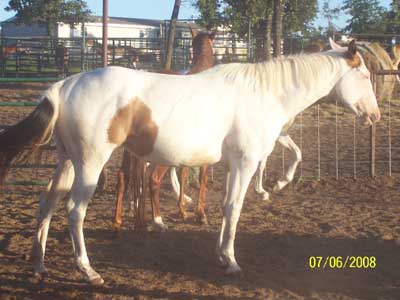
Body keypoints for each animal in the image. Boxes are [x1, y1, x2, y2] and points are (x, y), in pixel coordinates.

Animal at [111, 28, 217, 232]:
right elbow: (202, 177)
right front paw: (200, 214)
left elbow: (184, 174)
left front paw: (182, 210)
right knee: (151, 178)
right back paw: (156, 220)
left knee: (125, 176)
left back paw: (124, 221)